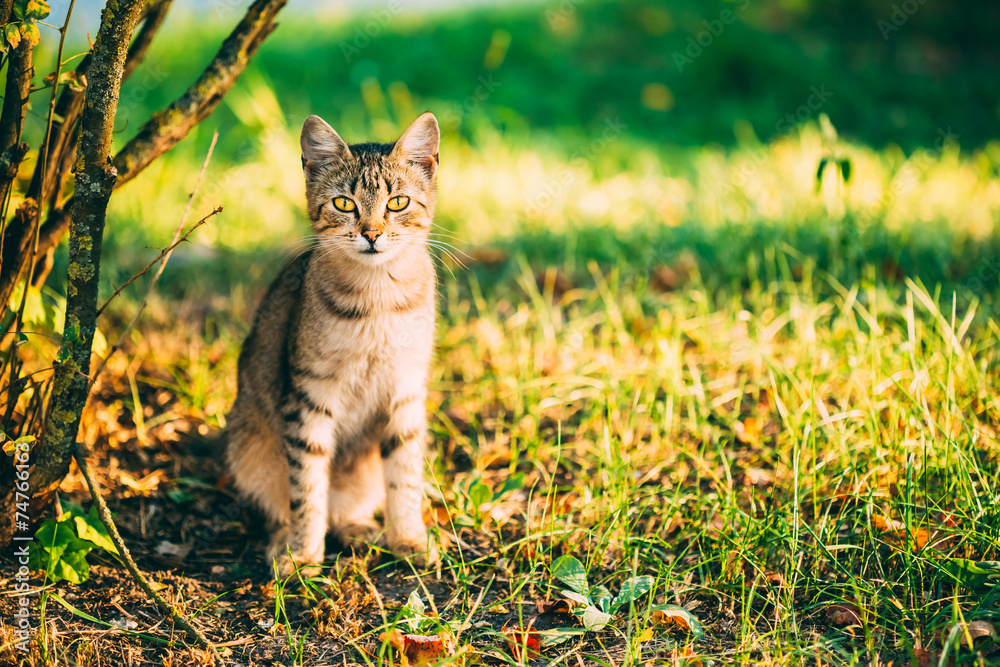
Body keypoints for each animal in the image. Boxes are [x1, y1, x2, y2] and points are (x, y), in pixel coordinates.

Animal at [230, 111, 442, 576]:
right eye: (344, 204)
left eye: (397, 202)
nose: (372, 234)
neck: (378, 299)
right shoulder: (309, 396)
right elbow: (307, 487)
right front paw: (304, 554)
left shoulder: (406, 390)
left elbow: (405, 476)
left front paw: (409, 539)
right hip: (249, 448)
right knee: (283, 504)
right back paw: (285, 542)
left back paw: (359, 529)